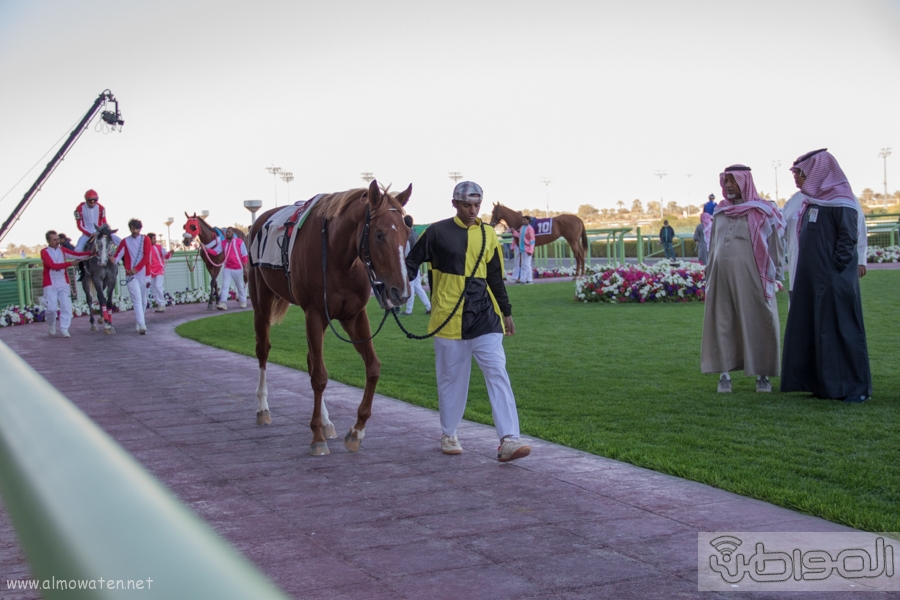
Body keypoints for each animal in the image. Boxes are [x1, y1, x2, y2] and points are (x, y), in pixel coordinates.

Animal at [250, 180, 412, 458]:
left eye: (407, 231)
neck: (338, 256)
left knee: (310, 360)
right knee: (263, 350)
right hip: (262, 301)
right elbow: (320, 376)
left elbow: (373, 367)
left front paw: (356, 431)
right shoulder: (314, 313)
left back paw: (327, 423)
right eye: (379, 235)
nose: (400, 292)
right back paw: (263, 408)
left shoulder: (354, 316)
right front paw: (316, 437)